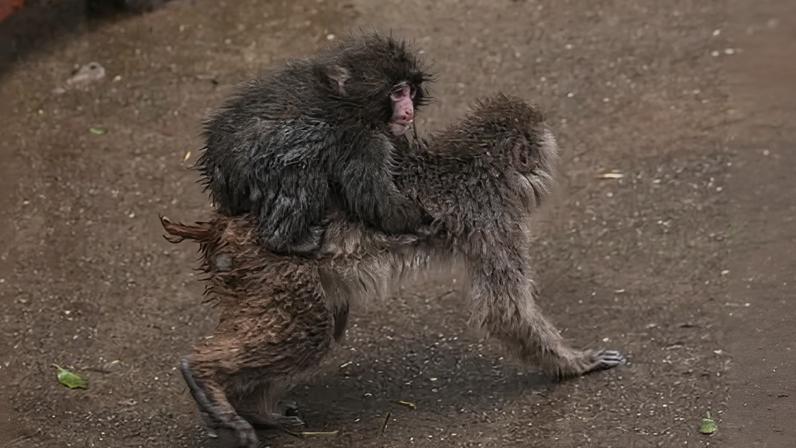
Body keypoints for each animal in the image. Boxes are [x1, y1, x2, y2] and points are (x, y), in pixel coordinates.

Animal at [161, 94, 626, 448]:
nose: (546, 173)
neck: (475, 163)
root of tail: (224, 225)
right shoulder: (494, 217)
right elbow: (504, 311)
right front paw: (575, 363)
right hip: (269, 269)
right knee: (311, 331)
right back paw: (206, 375)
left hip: (248, 275)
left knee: (325, 323)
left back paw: (252, 407)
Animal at [196, 33, 434, 257]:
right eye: (398, 93)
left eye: (411, 91)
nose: (408, 111)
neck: (350, 102)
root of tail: (216, 165)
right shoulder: (365, 142)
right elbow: (377, 202)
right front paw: (420, 220)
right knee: (304, 174)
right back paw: (286, 241)